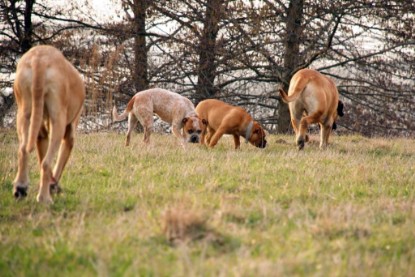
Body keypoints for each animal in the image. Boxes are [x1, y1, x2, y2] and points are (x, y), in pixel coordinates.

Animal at [13, 44, 86, 202]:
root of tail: (39, 59)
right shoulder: (70, 131)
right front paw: (53, 186)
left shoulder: (40, 133)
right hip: (58, 120)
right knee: (46, 163)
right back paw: (44, 198)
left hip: (24, 111)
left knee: (23, 150)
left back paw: (20, 187)